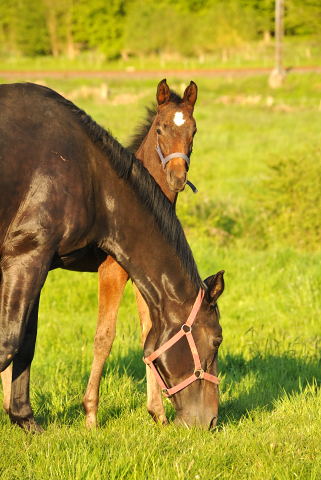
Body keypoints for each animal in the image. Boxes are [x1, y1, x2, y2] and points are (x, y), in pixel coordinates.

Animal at [0, 82, 222, 432]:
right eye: (216, 341)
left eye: (194, 130)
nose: (210, 421)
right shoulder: (109, 268)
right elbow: (104, 337)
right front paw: (90, 415)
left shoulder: (136, 276)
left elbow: (147, 335)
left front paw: (156, 413)